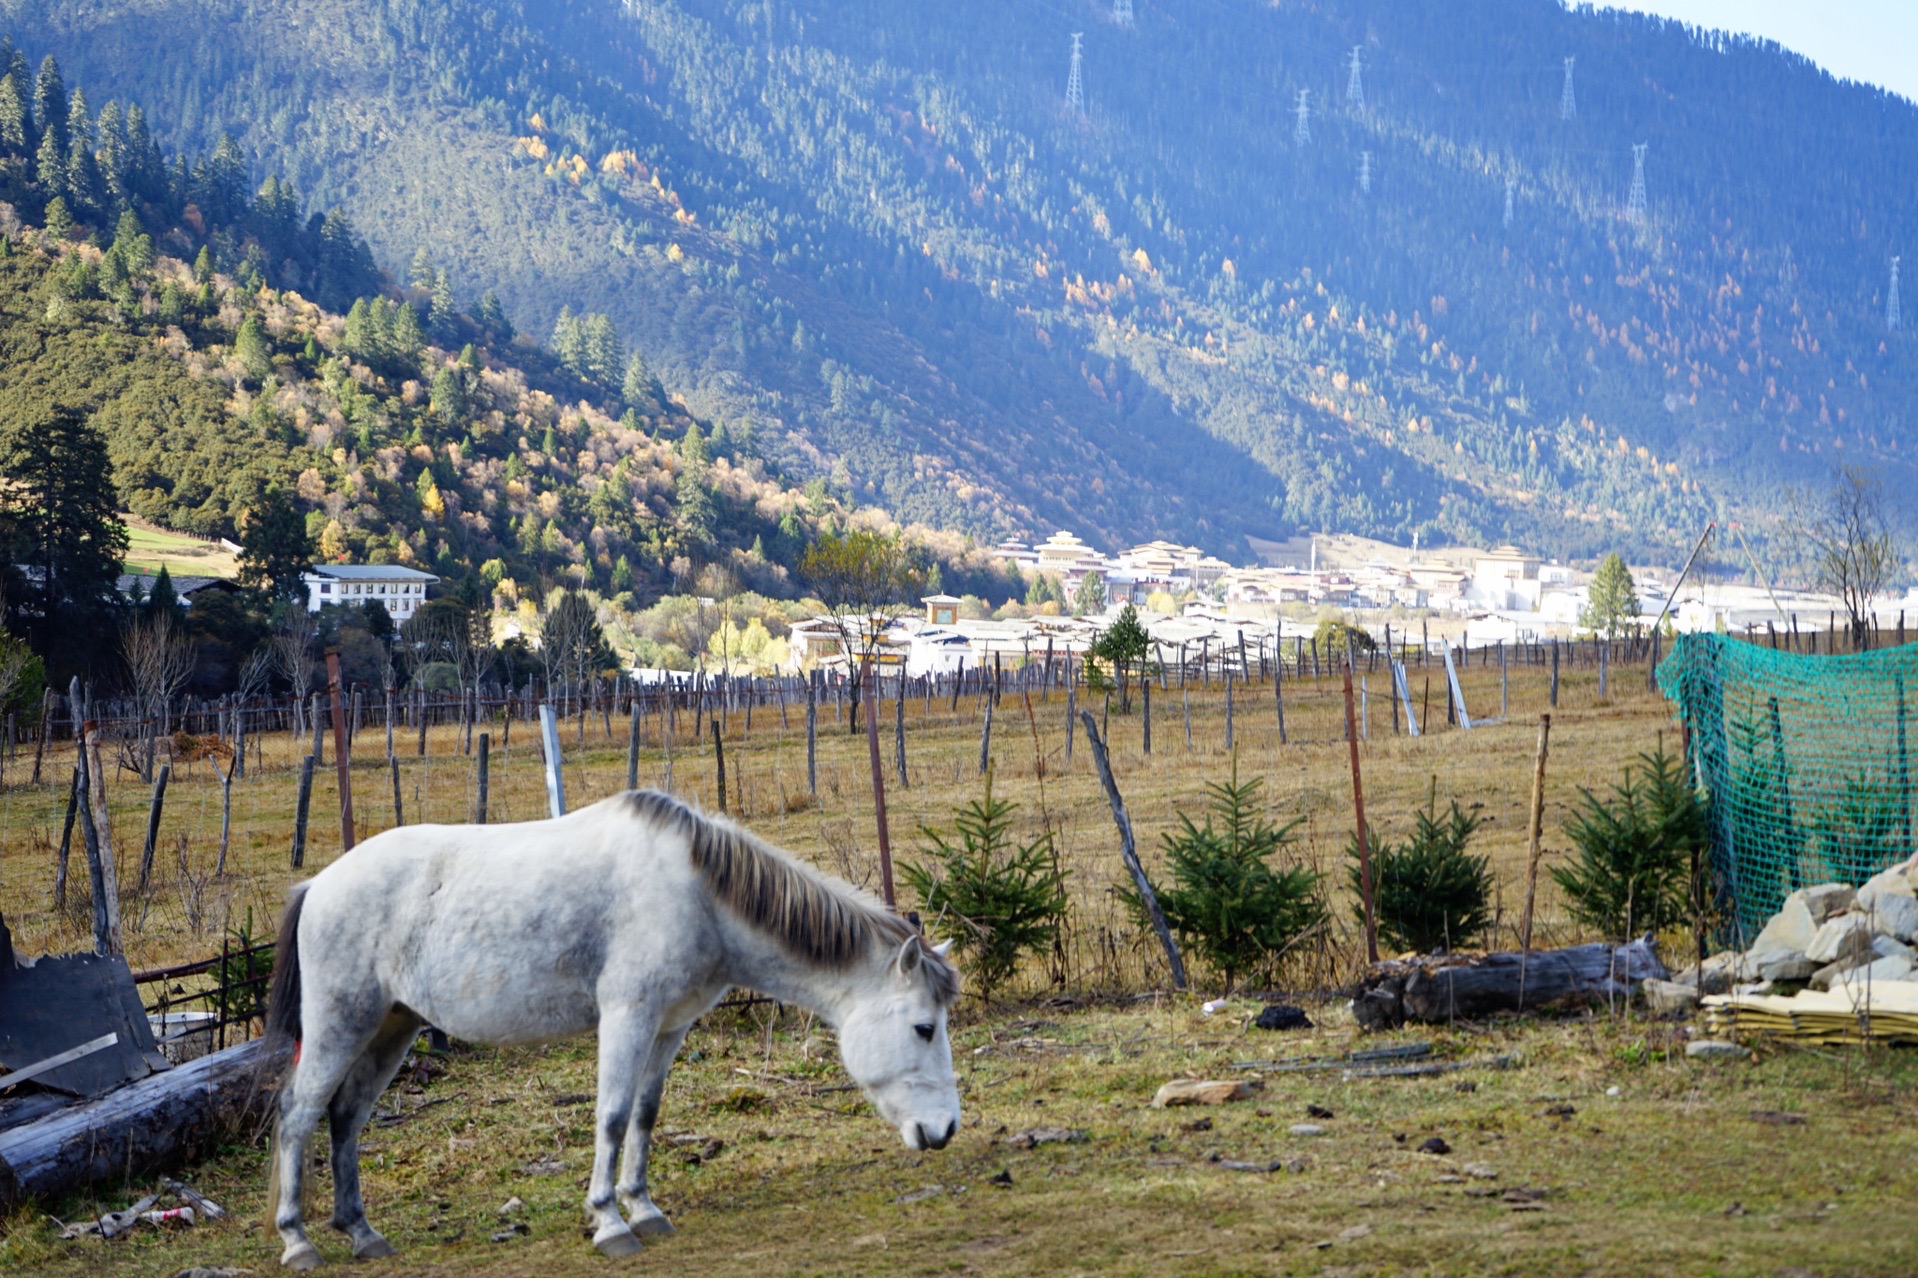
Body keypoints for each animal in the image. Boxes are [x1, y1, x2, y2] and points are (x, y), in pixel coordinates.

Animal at [262, 786, 966, 1266]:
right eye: (924, 1028)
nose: (944, 1132)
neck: (698, 894)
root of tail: (319, 883)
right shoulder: (628, 1016)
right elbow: (611, 1114)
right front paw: (609, 1222)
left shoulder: (668, 1027)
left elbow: (646, 1116)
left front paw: (643, 1207)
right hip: (340, 1024)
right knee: (298, 1114)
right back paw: (298, 1241)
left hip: (392, 1027)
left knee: (346, 1117)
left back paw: (361, 1232)